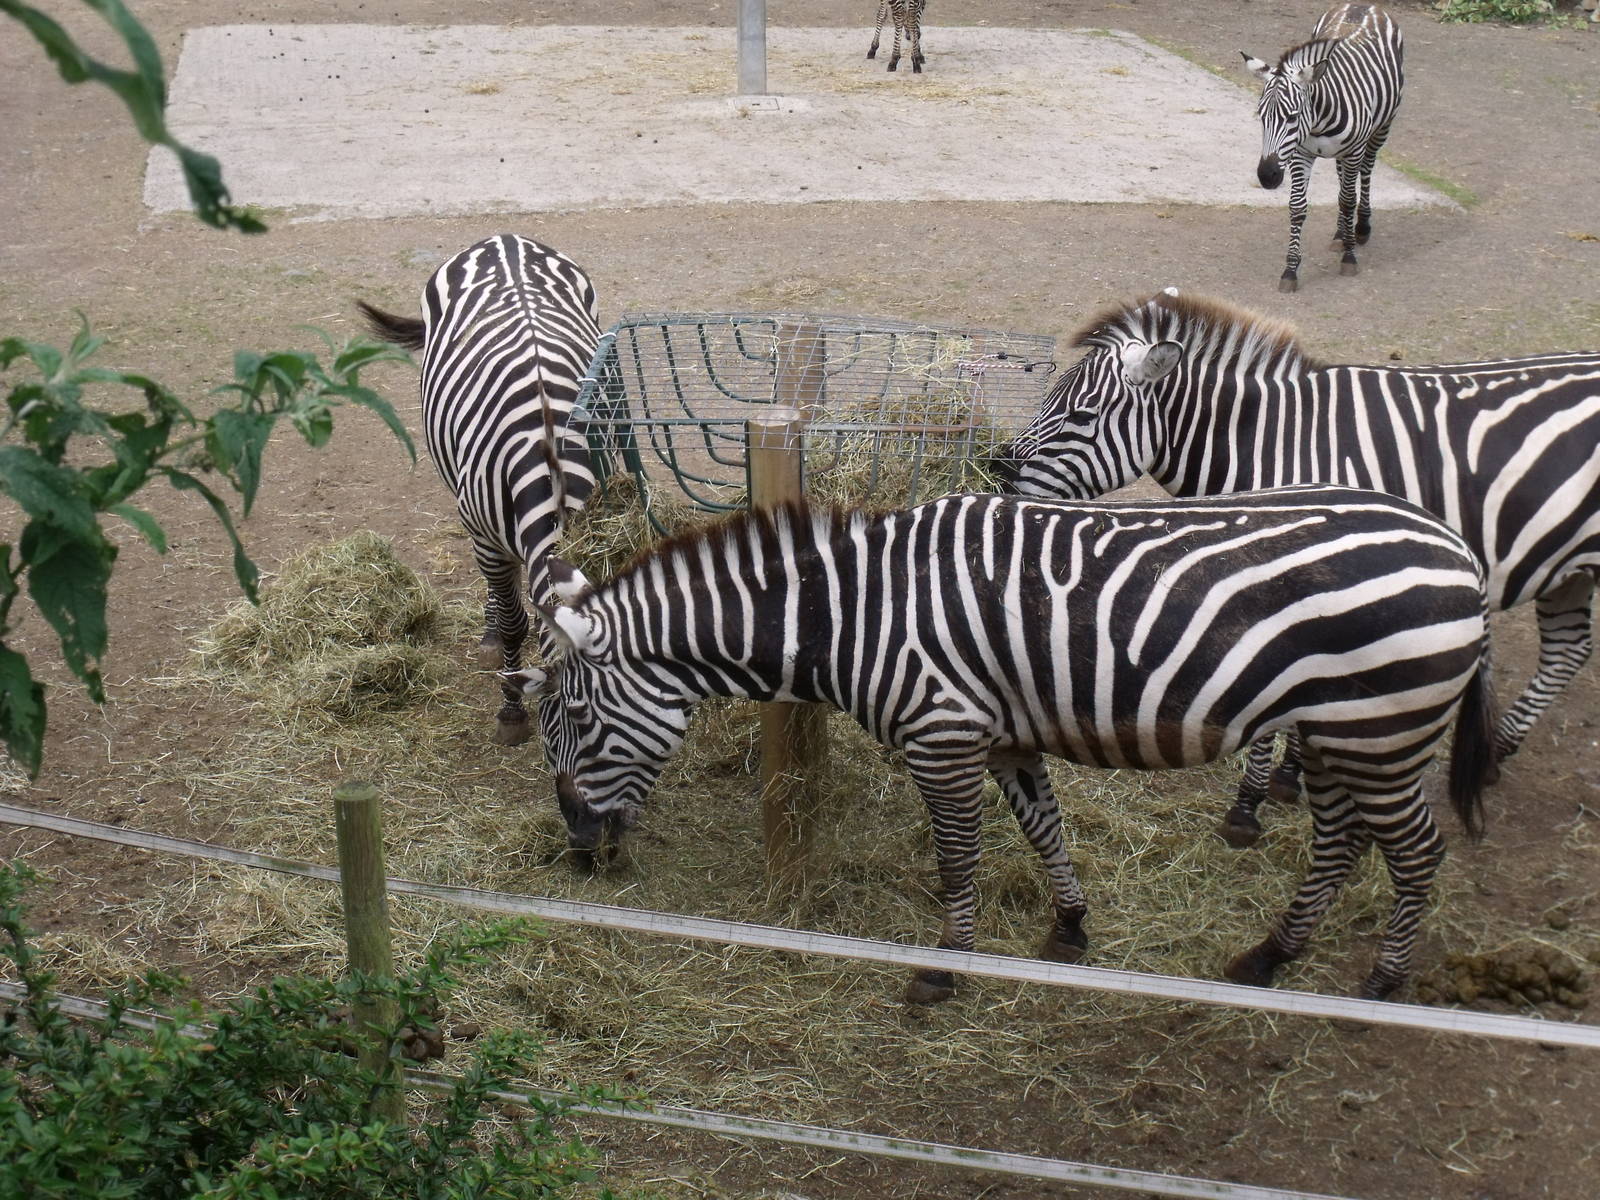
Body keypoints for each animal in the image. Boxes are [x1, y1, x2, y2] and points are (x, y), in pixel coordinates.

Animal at [507, 489, 1494, 1003]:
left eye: (580, 722)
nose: (579, 849)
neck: (854, 614)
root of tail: (1457, 549)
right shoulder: (1004, 737)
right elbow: (1043, 829)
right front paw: (1070, 926)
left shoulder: (942, 736)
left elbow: (957, 855)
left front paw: (946, 969)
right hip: (1334, 733)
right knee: (1338, 843)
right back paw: (1269, 958)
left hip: (1379, 730)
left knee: (1415, 852)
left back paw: (1381, 986)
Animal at [992, 286, 1600, 845]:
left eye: (1080, 415)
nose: (998, 472)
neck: (1272, 442)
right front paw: (1290, 776)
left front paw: (1249, 803)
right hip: (1567, 568)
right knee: (1568, 650)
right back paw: (1499, 750)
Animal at [1241, 4, 1404, 292]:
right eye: (1261, 116)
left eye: (1292, 117)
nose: (1267, 176)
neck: (1318, 121)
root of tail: (1365, 5)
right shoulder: (1300, 154)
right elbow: (1298, 207)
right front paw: (1290, 270)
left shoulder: (1354, 150)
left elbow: (1349, 200)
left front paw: (1349, 256)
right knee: (1342, 181)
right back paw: (1340, 233)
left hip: (1381, 129)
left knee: (1366, 171)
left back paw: (1361, 227)